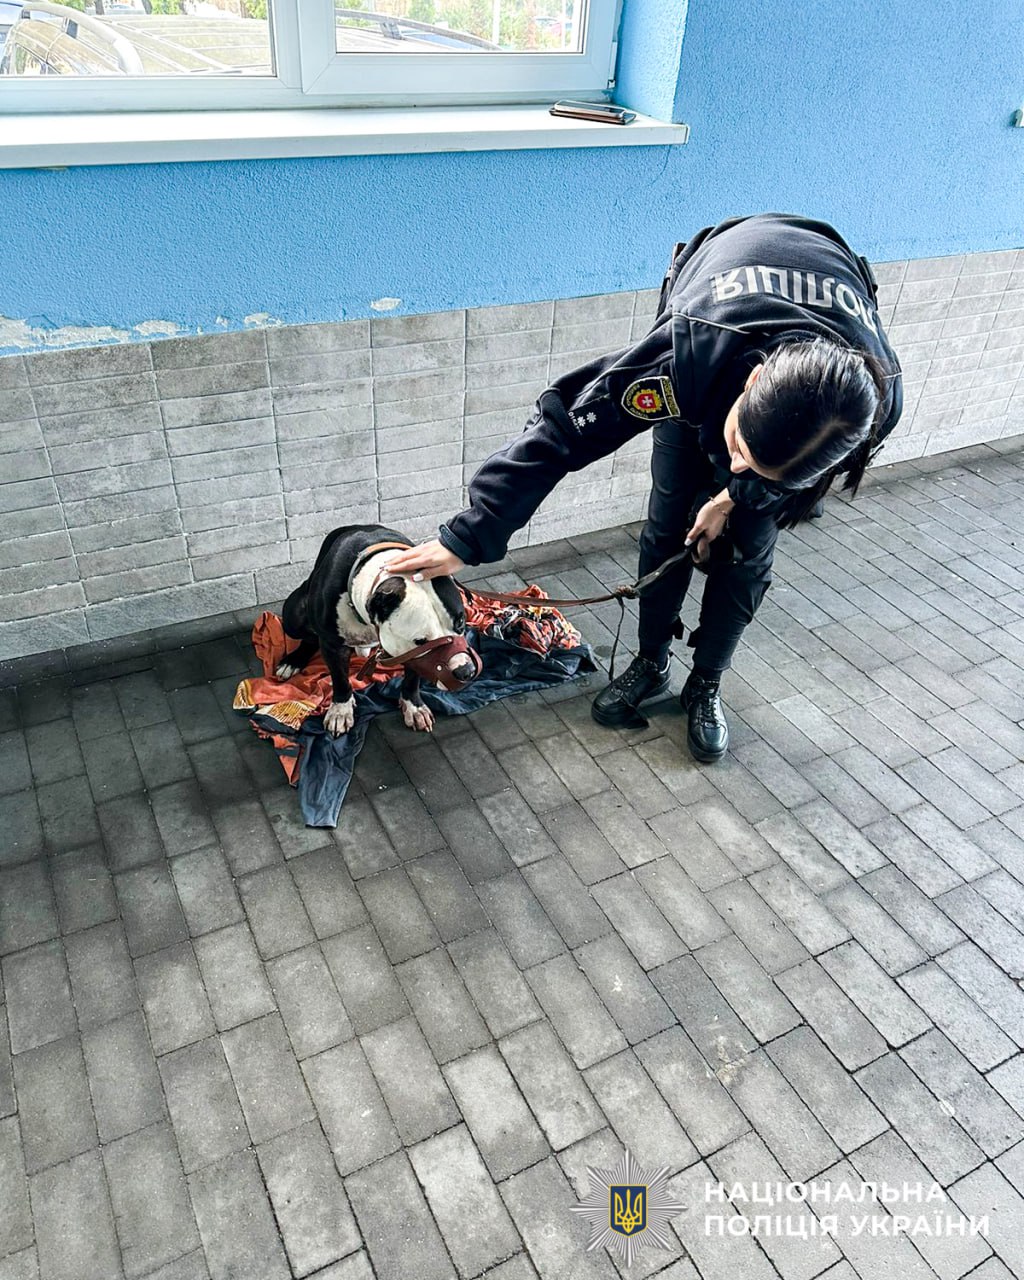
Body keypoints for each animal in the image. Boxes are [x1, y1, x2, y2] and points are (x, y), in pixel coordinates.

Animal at [277, 524, 480, 736]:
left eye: (461, 621)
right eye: (421, 641)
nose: (466, 671)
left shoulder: (411, 654)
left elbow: (412, 678)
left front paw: (414, 707)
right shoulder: (332, 645)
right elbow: (340, 679)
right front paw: (340, 710)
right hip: (293, 614)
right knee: (308, 636)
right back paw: (293, 661)